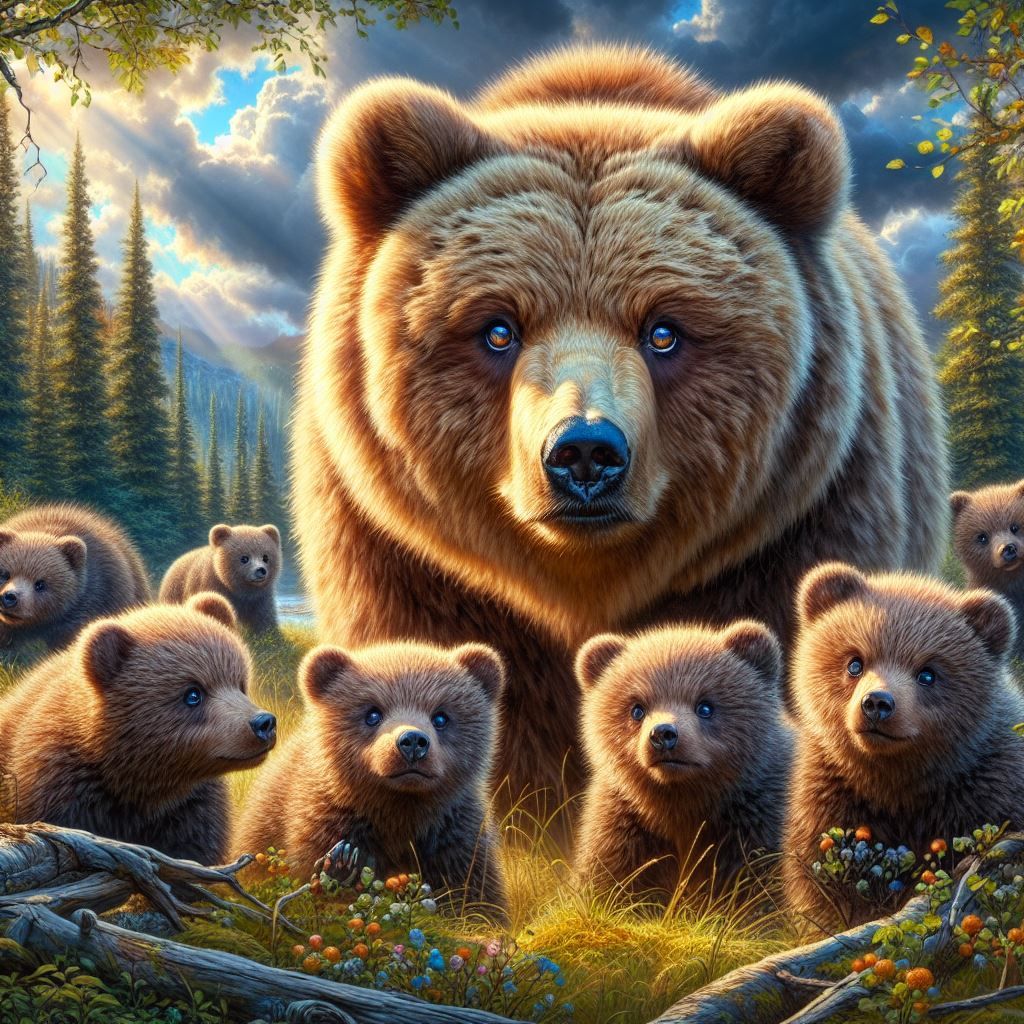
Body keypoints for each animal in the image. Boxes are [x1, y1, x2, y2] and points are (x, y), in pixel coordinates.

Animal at [233, 641, 508, 918]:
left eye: (440, 717)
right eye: (373, 714)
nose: (412, 741)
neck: (399, 814)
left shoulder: (456, 838)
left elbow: (477, 897)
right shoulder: (325, 823)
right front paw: (342, 864)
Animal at [292, 43, 949, 827]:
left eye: (663, 330)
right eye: (498, 329)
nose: (583, 454)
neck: (586, 587)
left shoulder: (797, 530)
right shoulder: (405, 562)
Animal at [782, 562, 1024, 933]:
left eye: (928, 673)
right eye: (855, 662)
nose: (877, 703)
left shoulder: (991, 790)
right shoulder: (830, 802)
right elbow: (822, 886)